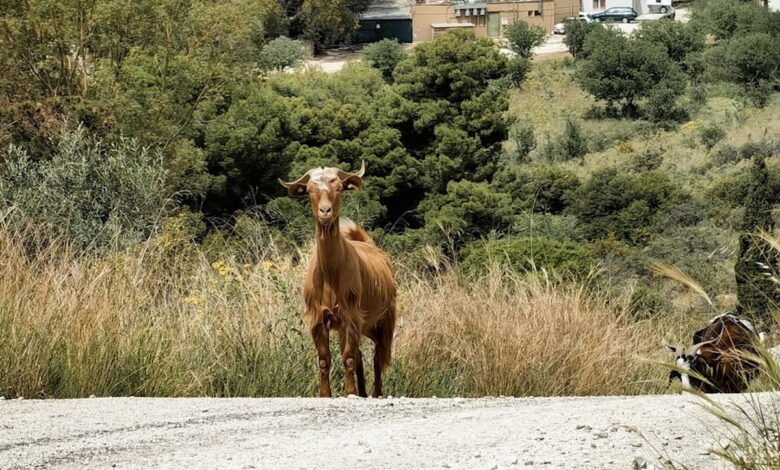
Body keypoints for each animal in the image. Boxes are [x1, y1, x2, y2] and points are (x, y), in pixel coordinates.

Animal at [278, 162, 396, 396]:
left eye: (339, 188)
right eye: (309, 191)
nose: (325, 211)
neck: (331, 273)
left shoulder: (350, 316)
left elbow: (348, 358)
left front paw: (349, 393)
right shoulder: (318, 318)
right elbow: (325, 360)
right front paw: (326, 394)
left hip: (384, 319)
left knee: (378, 356)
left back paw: (376, 393)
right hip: (363, 324)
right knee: (362, 357)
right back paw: (363, 392)